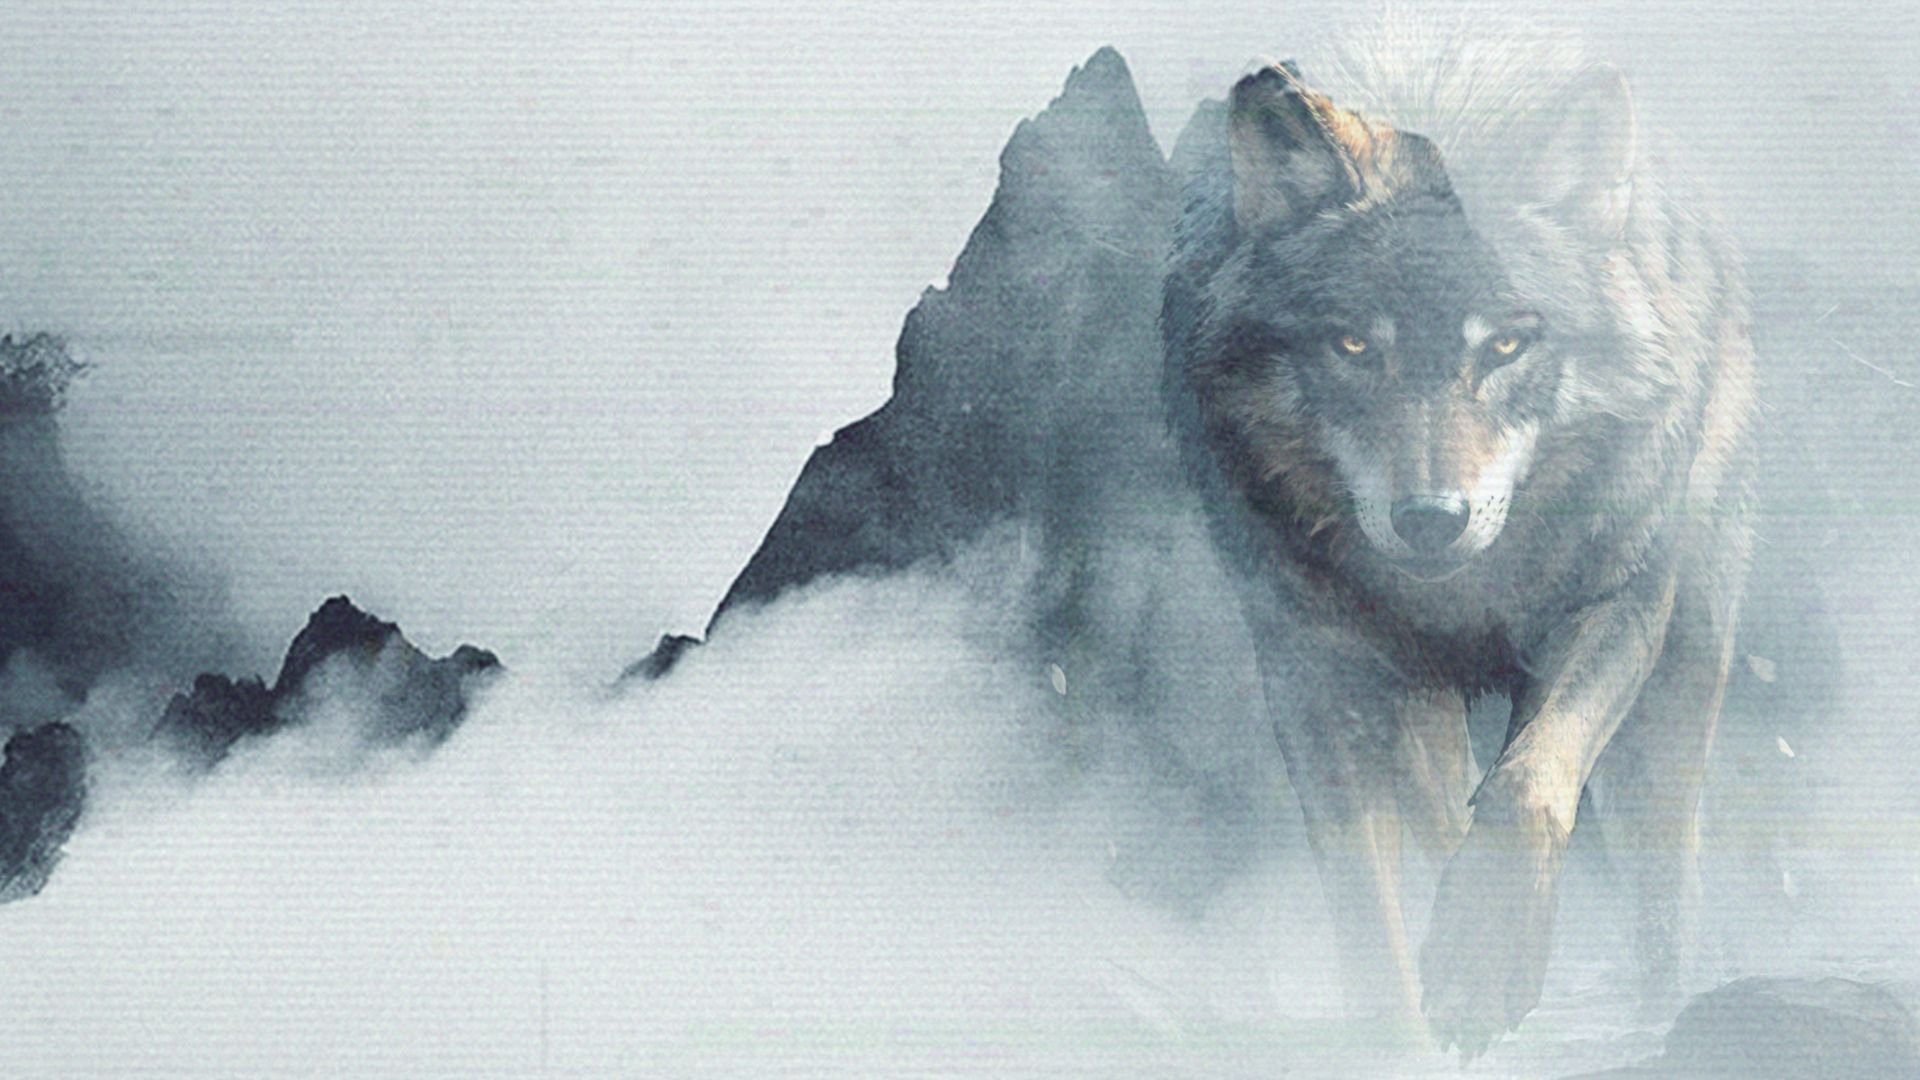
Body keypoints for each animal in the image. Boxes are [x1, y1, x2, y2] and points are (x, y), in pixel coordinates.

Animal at [1160, 25, 1755, 1056]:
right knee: (1443, 814)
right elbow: (1370, 925)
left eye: (1508, 345)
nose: (1430, 518)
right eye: (1355, 347)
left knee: (1663, 889)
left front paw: (1483, 970)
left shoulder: (1617, 603)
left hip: (1686, 665)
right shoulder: (1317, 673)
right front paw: (1419, 1012)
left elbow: (1529, 788)